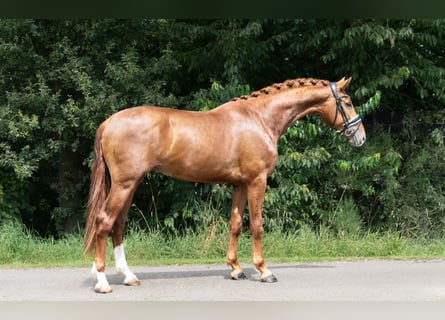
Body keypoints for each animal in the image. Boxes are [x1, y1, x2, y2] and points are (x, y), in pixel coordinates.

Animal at [82, 77, 364, 292]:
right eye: (348, 102)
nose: (360, 137)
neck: (260, 118)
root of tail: (108, 122)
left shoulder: (239, 184)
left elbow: (236, 224)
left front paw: (236, 269)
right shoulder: (257, 181)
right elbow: (257, 225)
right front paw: (264, 271)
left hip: (129, 185)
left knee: (118, 225)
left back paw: (128, 276)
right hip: (124, 184)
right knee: (104, 222)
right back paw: (102, 282)